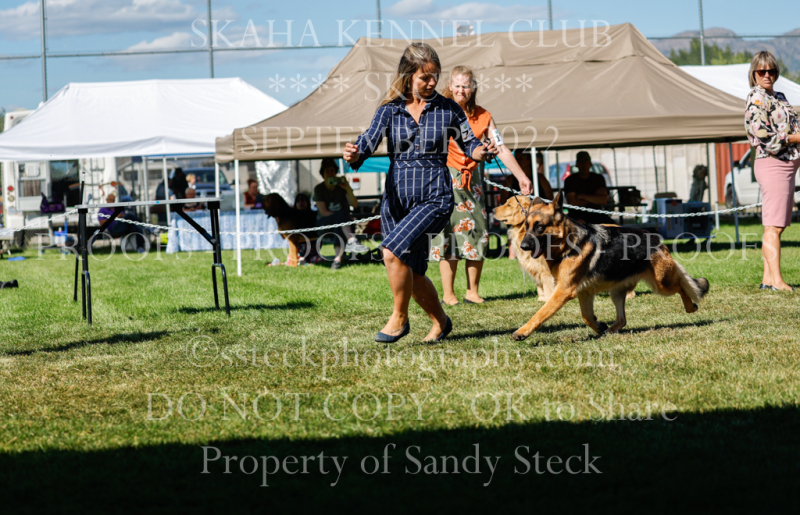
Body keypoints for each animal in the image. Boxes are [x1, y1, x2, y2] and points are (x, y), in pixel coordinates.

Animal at [495, 192, 709, 341]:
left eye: (540, 227)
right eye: (527, 226)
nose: (523, 246)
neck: (567, 245)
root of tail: (656, 238)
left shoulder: (562, 291)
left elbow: (540, 313)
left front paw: (522, 332)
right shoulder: (584, 293)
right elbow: (586, 316)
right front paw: (599, 326)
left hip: (662, 285)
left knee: (681, 285)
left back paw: (690, 307)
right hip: (617, 292)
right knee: (622, 319)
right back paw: (610, 331)